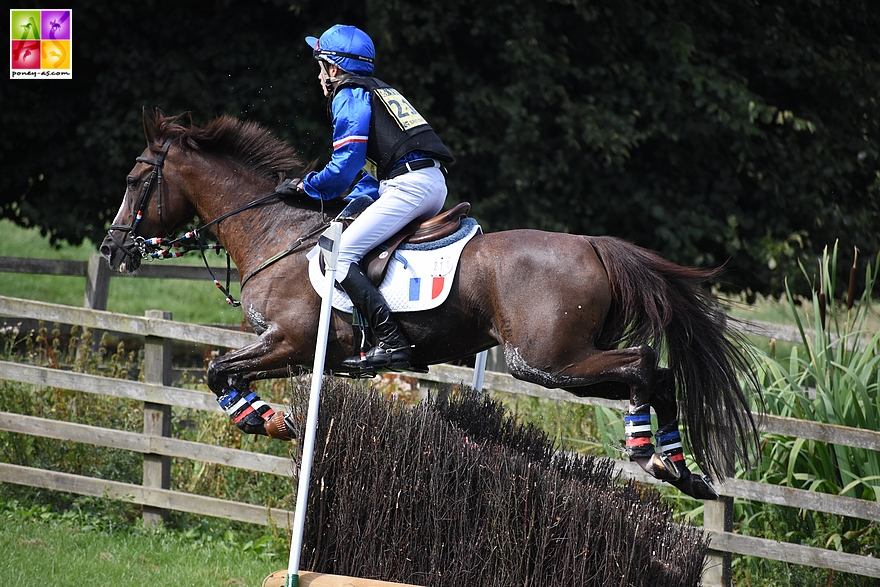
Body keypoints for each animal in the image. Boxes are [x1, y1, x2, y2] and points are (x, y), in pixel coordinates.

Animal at [103, 108, 760, 498]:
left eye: (135, 181)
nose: (112, 248)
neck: (274, 232)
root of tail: (593, 245)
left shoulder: (290, 342)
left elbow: (218, 369)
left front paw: (269, 420)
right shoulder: (291, 352)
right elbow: (223, 372)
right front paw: (266, 417)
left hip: (546, 361)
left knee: (643, 365)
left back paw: (647, 453)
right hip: (565, 364)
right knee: (658, 374)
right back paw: (679, 468)